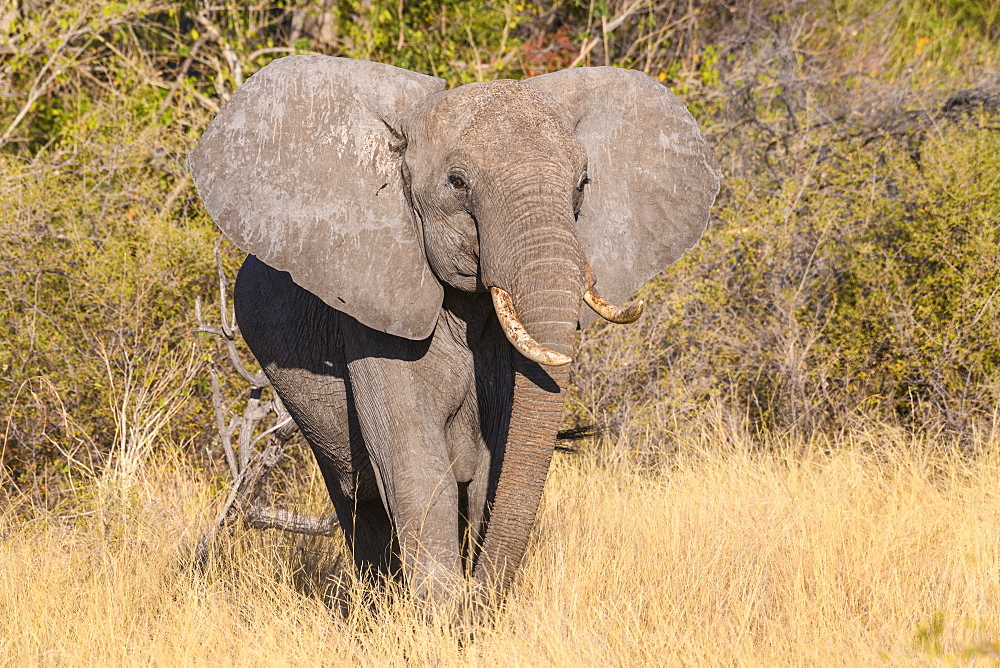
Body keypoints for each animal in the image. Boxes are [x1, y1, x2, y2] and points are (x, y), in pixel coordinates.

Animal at [188, 56, 720, 600]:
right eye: (458, 183)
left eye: (583, 183)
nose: (479, 597)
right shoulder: (375, 304)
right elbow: (416, 468)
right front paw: (441, 614)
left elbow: (495, 465)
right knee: (358, 497)